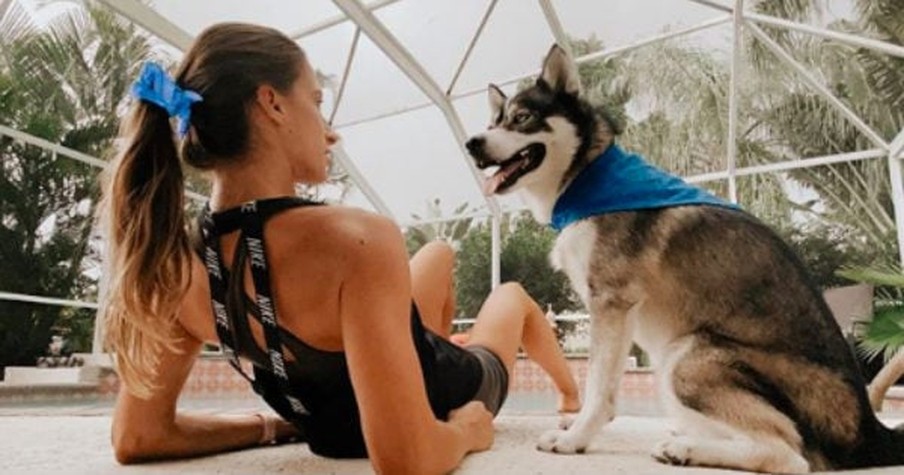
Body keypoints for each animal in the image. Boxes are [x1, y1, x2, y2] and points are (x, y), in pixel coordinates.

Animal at [466, 45, 904, 472]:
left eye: (521, 118)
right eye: (493, 121)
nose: (473, 143)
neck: (585, 176)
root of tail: (871, 432)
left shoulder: (611, 302)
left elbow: (598, 388)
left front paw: (576, 438)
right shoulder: (619, 310)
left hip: (686, 356)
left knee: (788, 455)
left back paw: (688, 450)